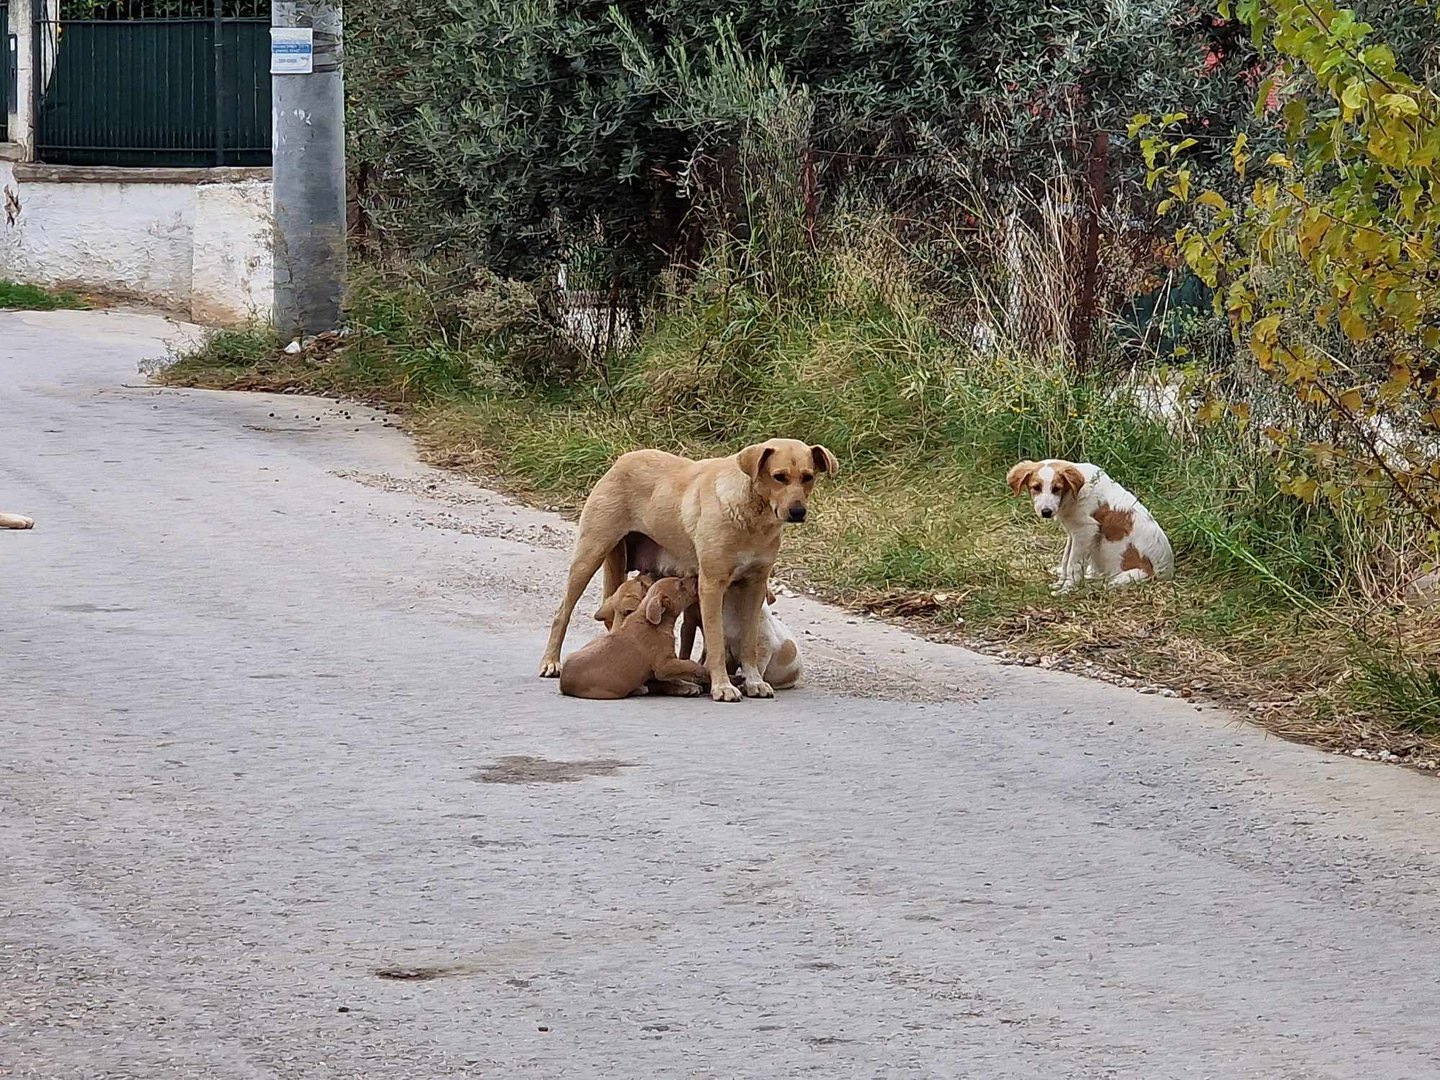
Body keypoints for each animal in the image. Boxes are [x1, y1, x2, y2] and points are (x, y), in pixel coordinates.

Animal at [555, 578, 708, 705]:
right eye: (681, 584)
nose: (696, 577)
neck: (651, 622)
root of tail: (563, 682)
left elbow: (675, 677)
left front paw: (689, 685)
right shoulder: (664, 665)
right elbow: (687, 664)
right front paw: (703, 671)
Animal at [1008, 457, 1175, 593]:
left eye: (1057, 489)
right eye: (1036, 487)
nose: (1046, 512)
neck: (1073, 495)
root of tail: (1166, 574)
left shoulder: (1085, 531)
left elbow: (1073, 563)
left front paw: (1067, 588)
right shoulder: (1073, 532)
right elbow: (1066, 560)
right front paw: (1060, 583)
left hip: (1132, 576)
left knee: (1105, 584)